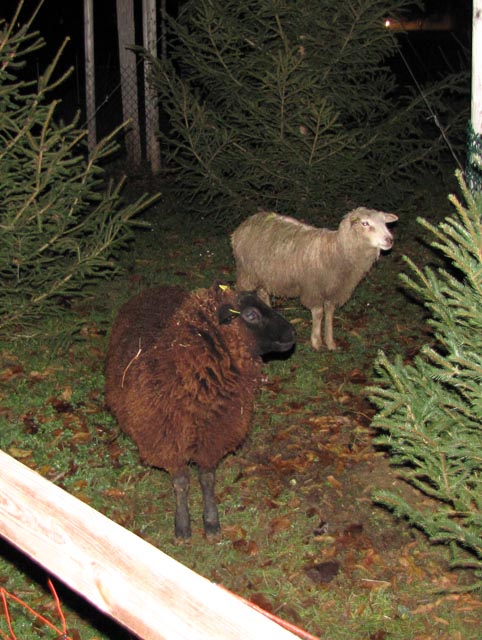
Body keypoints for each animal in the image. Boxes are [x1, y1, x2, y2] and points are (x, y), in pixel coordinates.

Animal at [104, 283, 296, 539]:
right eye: (251, 315)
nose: (292, 334)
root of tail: (157, 287)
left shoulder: (212, 437)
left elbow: (207, 480)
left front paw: (211, 521)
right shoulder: (168, 440)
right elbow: (181, 483)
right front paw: (183, 524)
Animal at [231, 208, 398, 351]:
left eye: (385, 222)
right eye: (365, 223)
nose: (389, 240)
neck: (337, 252)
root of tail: (247, 221)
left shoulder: (334, 290)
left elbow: (330, 313)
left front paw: (330, 342)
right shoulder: (313, 289)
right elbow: (318, 313)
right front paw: (317, 342)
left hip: (263, 274)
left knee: (263, 293)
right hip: (247, 272)